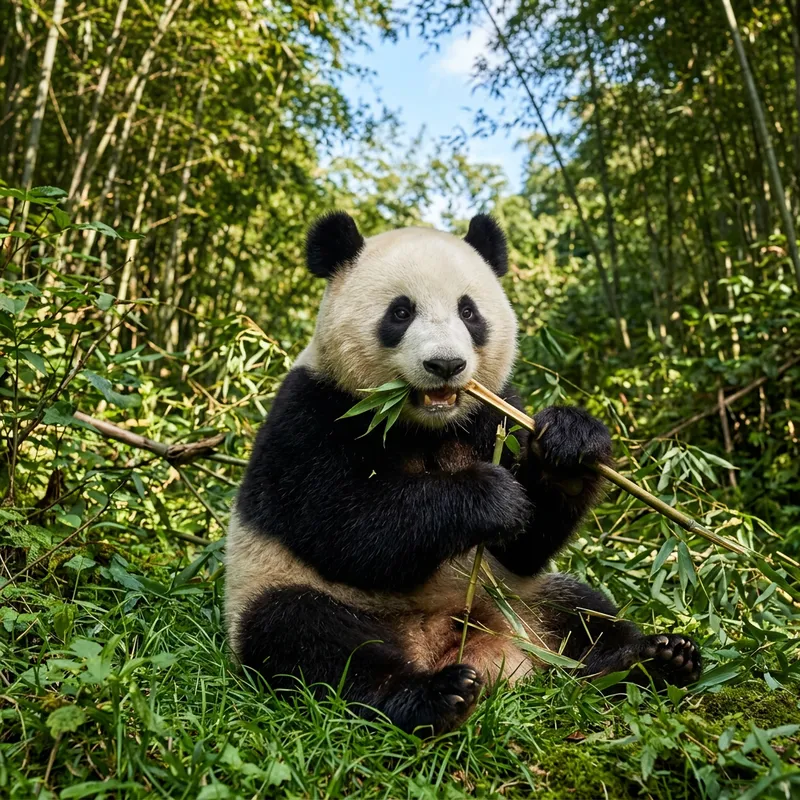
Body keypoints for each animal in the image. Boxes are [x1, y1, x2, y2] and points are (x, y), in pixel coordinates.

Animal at [225, 212, 701, 735]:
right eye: (400, 312)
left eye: (469, 312)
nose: (446, 364)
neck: (423, 423)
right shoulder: (312, 412)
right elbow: (343, 524)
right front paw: (488, 498)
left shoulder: (496, 414)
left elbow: (525, 547)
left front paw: (569, 445)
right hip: (283, 589)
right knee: (310, 639)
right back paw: (432, 696)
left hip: (522, 598)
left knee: (583, 614)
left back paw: (653, 660)